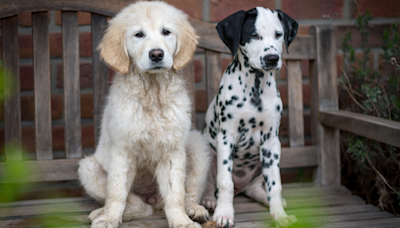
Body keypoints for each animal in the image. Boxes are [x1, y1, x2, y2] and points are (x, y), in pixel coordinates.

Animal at [76, 1, 211, 226]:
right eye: (138, 34)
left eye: (166, 32)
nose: (156, 54)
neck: (153, 93)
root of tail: (153, 199)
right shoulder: (122, 150)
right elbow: (117, 192)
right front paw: (109, 218)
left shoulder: (173, 150)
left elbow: (175, 193)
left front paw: (181, 221)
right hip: (88, 168)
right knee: (138, 205)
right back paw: (101, 212)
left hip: (197, 145)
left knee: (187, 193)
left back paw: (194, 209)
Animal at [203, 7, 296, 228]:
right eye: (254, 35)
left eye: (278, 34)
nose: (272, 58)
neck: (255, 85)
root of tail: (242, 187)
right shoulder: (226, 138)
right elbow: (224, 181)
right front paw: (224, 214)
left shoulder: (271, 143)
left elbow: (275, 185)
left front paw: (280, 215)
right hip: (208, 154)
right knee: (211, 185)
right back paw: (210, 200)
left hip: (259, 167)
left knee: (257, 190)